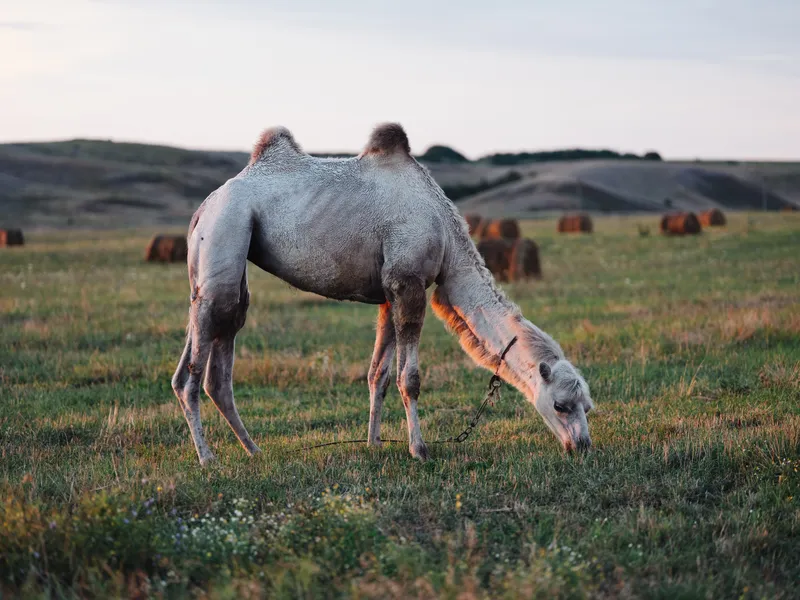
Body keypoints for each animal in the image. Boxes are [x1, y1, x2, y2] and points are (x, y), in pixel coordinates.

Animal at [172, 123, 593, 465]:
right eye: (561, 405)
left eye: (588, 405)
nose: (583, 446)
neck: (447, 240)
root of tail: (205, 205)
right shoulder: (409, 283)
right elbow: (411, 379)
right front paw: (419, 450)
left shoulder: (391, 292)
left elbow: (380, 374)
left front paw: (374, 443)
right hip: (226, 231)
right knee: (194, 369)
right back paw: (207, 457)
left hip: (219, 269)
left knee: (215, 359)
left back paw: (253, 449)